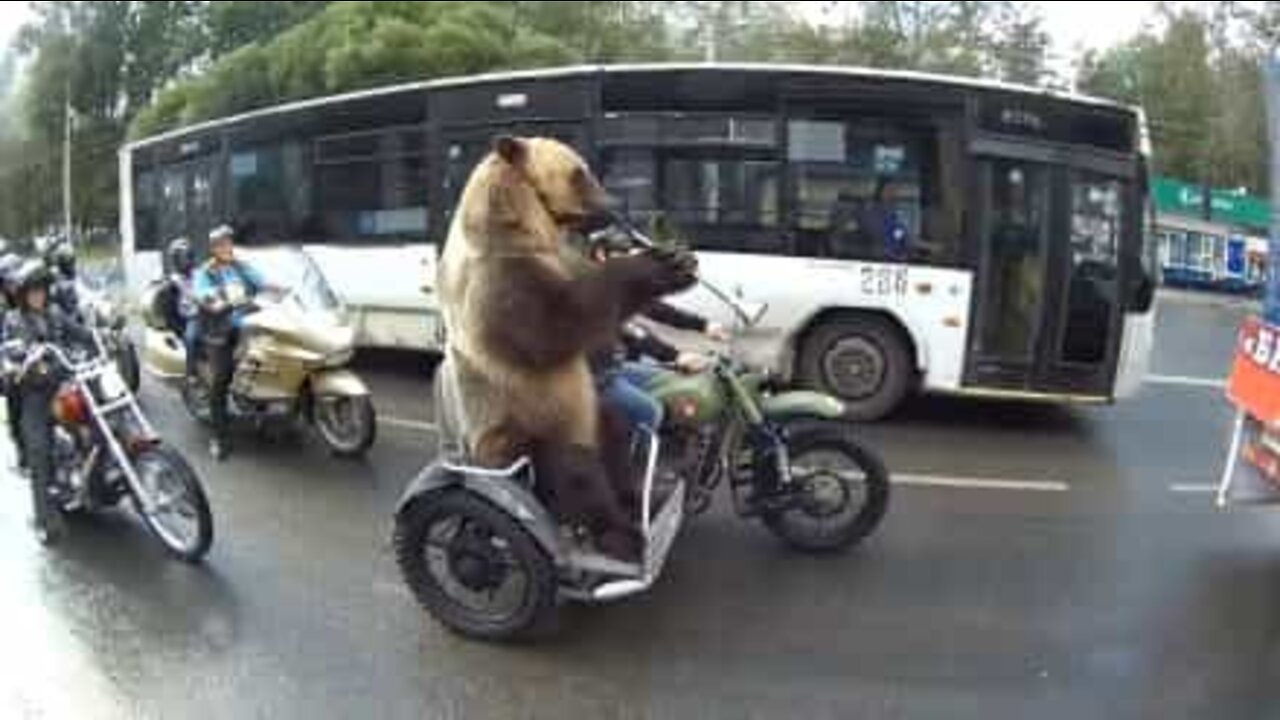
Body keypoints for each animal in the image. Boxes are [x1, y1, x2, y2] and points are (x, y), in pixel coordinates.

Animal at [434, 135, 697, 561]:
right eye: (580, 172)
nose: (611, 205)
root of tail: (472, 458)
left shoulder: (560, 259)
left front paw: (678, 256)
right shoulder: (497, 280)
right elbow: (555, 325)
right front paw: (663, 265)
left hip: (586, 415)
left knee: (614, 430)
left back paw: (636, 493)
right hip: (519, 432)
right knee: (572, 472)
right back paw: (619, 533)